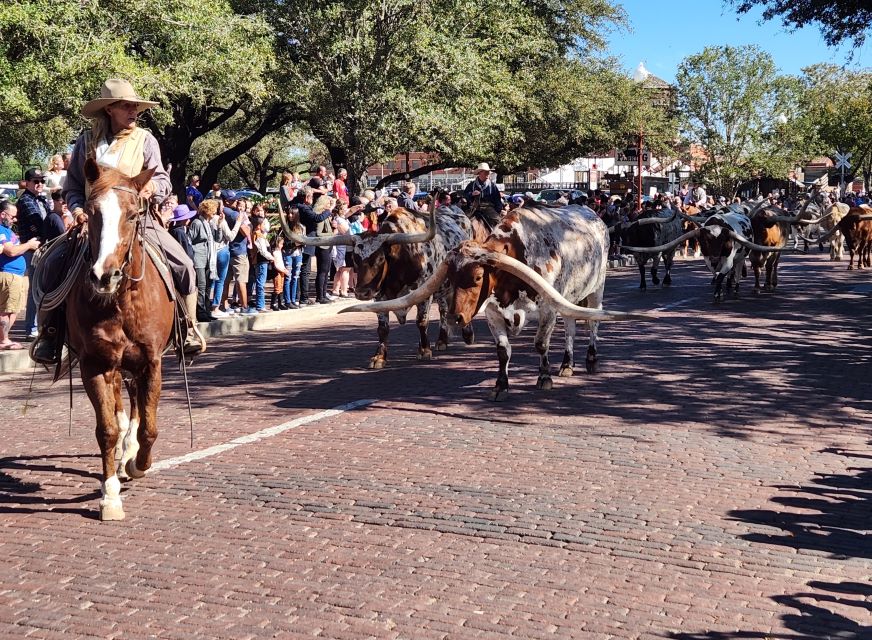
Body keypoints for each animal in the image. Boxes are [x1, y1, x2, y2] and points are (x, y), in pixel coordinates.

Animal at [66, 160, 175, 520]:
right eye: (91, 212)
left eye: (132, 214)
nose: (104, 275)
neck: (121, 300)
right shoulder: (95, 365)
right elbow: (107, 429)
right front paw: (110, 495)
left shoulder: (152, 361)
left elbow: (149, 427)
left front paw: (138, 464)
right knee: (120, 406)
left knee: (138, 407)